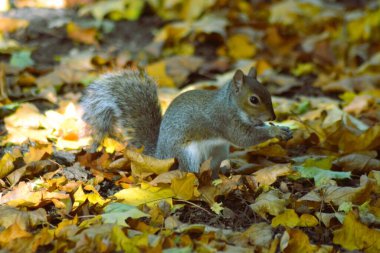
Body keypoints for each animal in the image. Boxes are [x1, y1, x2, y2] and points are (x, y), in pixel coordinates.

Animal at [81, 67, 292, 174]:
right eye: (254, 99)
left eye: (268, 92)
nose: (273, 117)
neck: (231, 104)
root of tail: (161, 155)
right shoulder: (224, 120)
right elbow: (243, 138)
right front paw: (275, 131)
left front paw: (281, 127)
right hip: (186, 153)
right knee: (188, 172)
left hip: (219, 150)